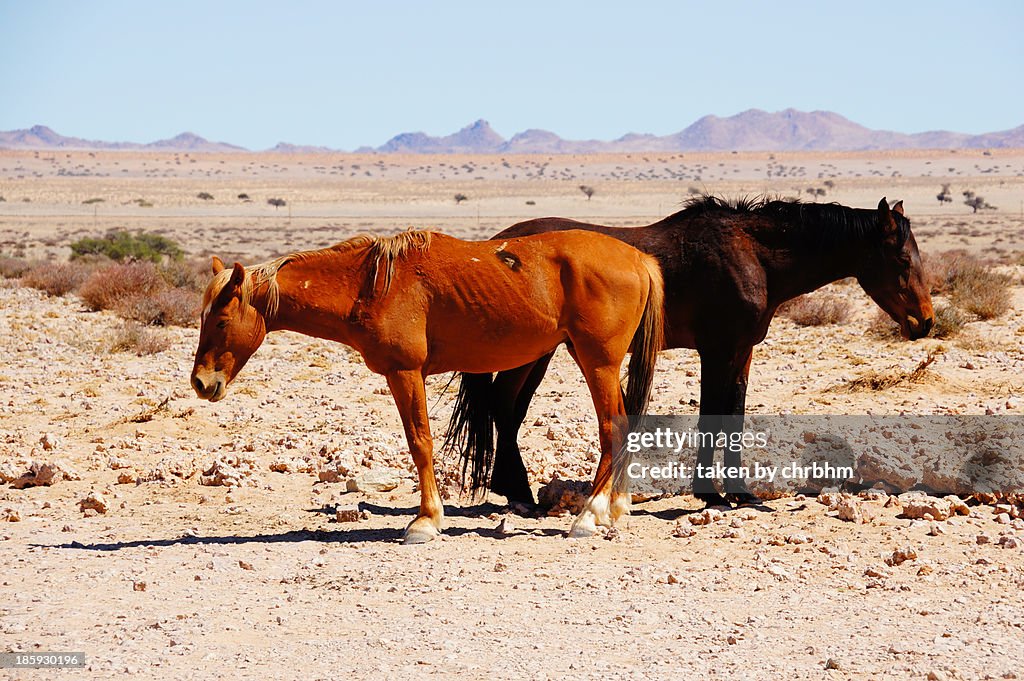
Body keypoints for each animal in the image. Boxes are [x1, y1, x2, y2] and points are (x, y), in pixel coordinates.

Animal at [190, 228, 663, 540]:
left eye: (221, 320)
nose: (200, 382)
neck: (370, 284)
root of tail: (638, 259)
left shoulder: (405, 373)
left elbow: (420, 443)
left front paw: (425, 521)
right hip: (594, 361)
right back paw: (615, 508)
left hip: (598, 361)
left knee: (612, 427)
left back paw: (589, 516)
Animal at [448, 193, 937, 507]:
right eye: (902, 260)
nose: (925, 321)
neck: (754, 256)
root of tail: (490, 245)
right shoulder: (715, 350)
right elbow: (710, 417)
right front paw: (710, 495)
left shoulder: (742, 351)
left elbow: (733, 416)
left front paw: (739, 493)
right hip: (530, 352)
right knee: (502, 405)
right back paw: (518, 495)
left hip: (538, 352)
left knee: (508, 409)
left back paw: (514, 492)